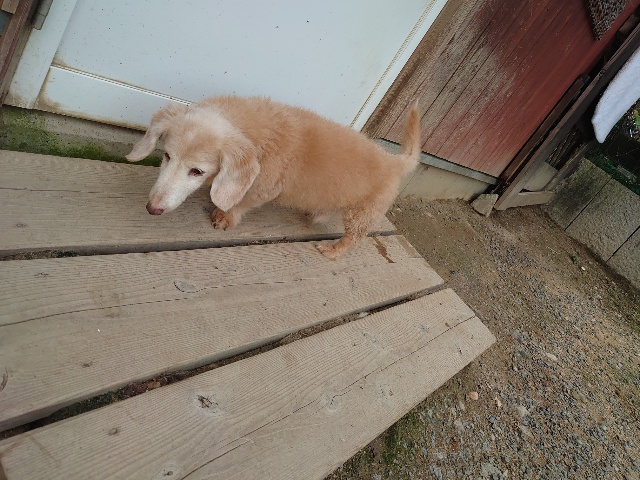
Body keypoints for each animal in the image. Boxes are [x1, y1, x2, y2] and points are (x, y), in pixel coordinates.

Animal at [126, 96, 420, 259]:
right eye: (166, 156)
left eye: (197, 171)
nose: (152, 208)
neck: (256, 133)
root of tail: (395, 160)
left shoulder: (264, 188)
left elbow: (243, 203)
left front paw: (224, 217)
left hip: (362, 214)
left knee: (353, 237)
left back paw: (332, 251)